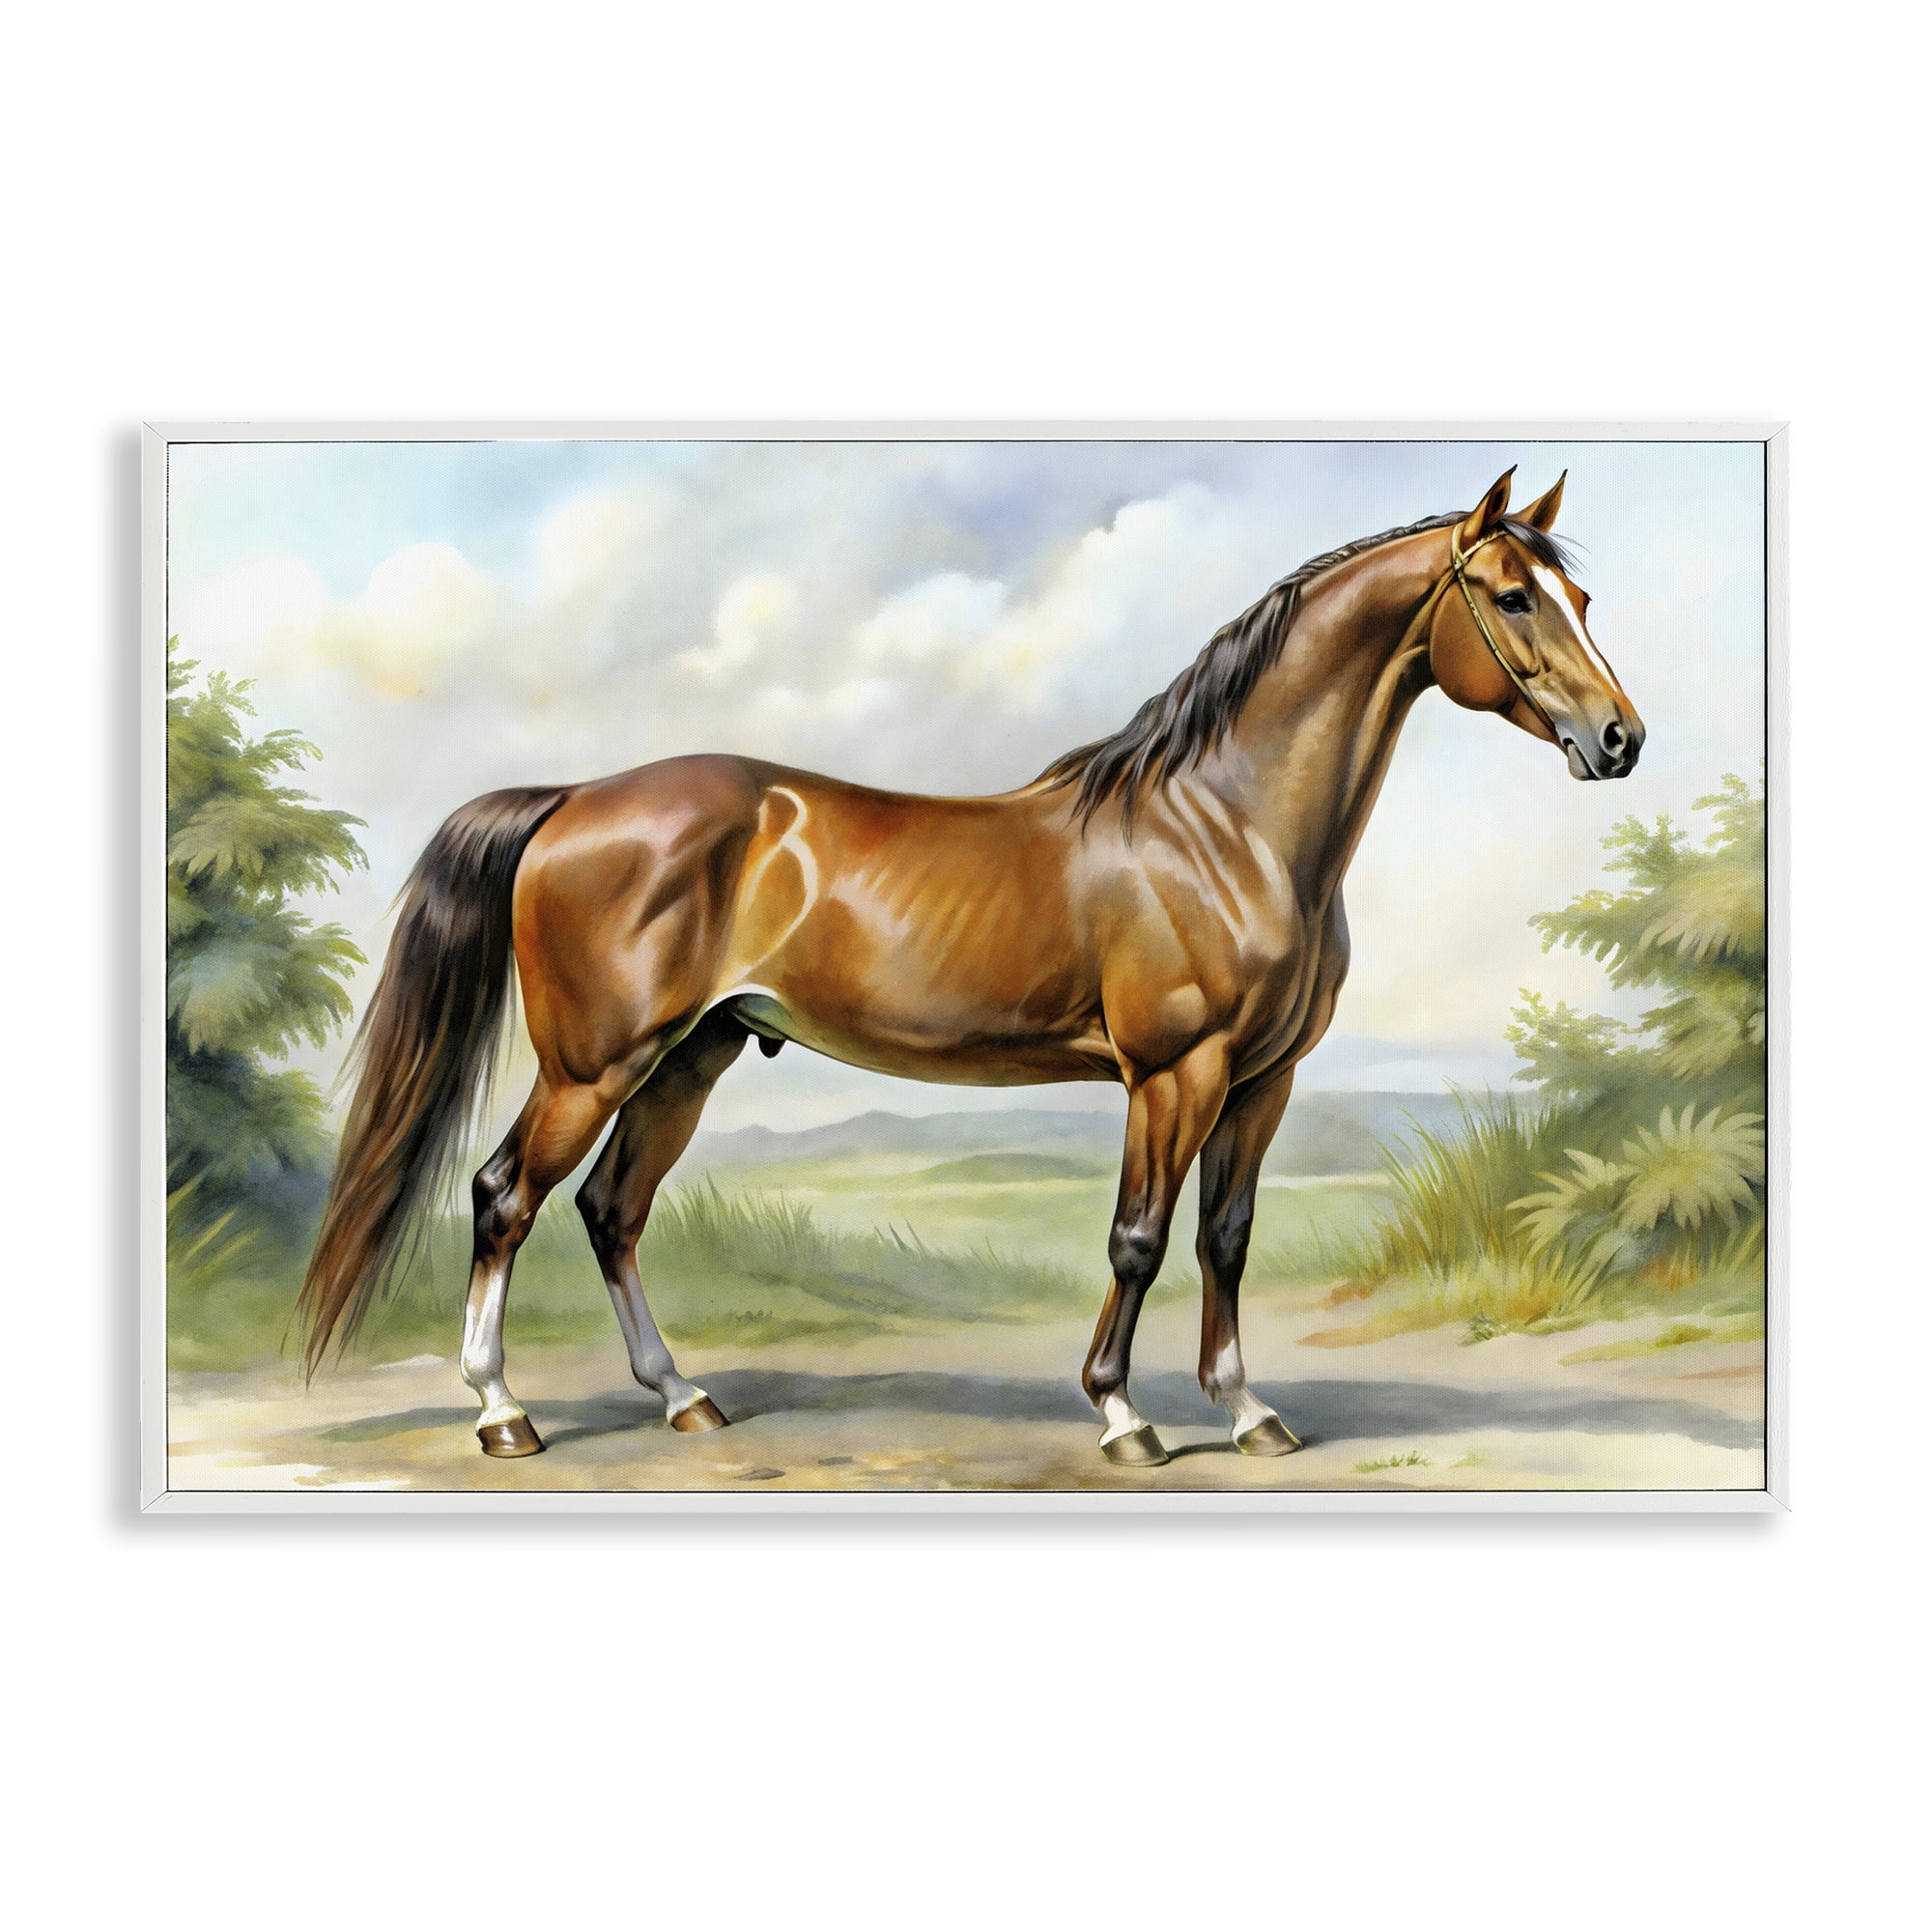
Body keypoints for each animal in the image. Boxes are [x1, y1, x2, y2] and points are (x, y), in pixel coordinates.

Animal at [296, 466, 1643, 1468]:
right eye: (1512, 598)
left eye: (1580, 592)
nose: (1618, 738)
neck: (1225, 824)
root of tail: (574, 799)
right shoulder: (1174, 1071)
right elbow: (1138, 1236)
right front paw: (1122, 1413)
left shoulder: (1263, 1080)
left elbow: (1225, 1236)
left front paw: (1249, 1410)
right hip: (595, 1061)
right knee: (503, 1196)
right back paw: (501, 1412)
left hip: (690, 1056)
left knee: (610, 1210)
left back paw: (682, 1395)